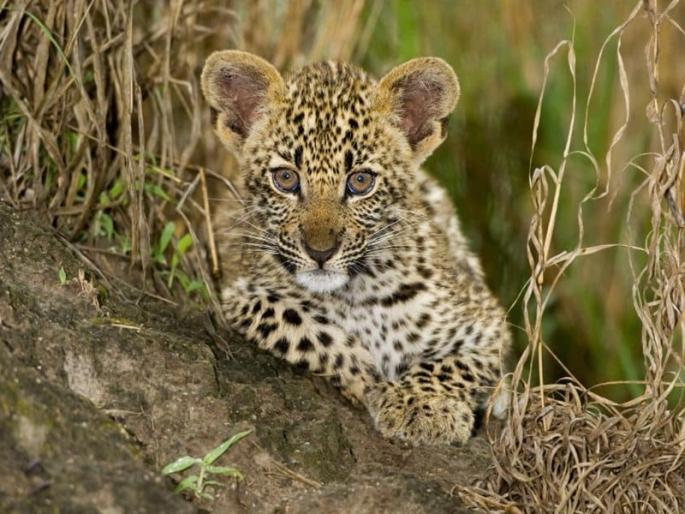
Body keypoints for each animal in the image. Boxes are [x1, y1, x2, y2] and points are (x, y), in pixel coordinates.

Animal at [201, 50, 511, 445]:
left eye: (360, 181)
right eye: (285, 178)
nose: (320, 252)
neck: (358, 292)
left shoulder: (486, 322)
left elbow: (455, 363)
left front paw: (424, 406)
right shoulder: (242, 295)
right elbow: (305, 328)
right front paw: (369, 379)